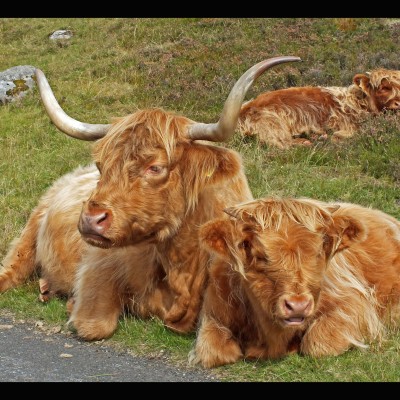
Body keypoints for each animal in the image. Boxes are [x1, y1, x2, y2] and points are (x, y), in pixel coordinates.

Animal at [0, 54, 300, 340]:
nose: (90, 219)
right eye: (101, 165)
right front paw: (73, 305)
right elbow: (95, 325)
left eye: (155, 167)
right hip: (30, 231)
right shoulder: (97, 267)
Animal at [189, 195, 400, 368]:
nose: (298, 305)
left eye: (318, 253)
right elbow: (215, 351)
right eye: (260, 256)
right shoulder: (213, 313)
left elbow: (318, 343)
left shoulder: (354, 305)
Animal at [238, 67, 400, 148]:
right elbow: (339, 136)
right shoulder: (348, 126)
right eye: (384, 88)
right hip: (272, 123)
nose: (398, 103)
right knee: (281, 143)